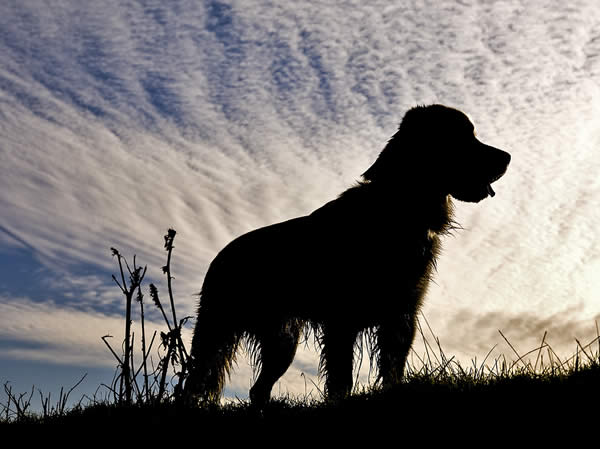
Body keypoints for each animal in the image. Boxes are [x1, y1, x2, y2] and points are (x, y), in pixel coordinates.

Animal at [184, 106, 510, 406]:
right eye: (463, 137)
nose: (507, 157)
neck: (398, 209)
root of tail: (221, 256)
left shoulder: (401, 315)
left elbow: (392, 369)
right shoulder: (342, 320)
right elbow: (342, 378)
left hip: (282, 340)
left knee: (258, 389)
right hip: (216, 330)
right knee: (192, 382)